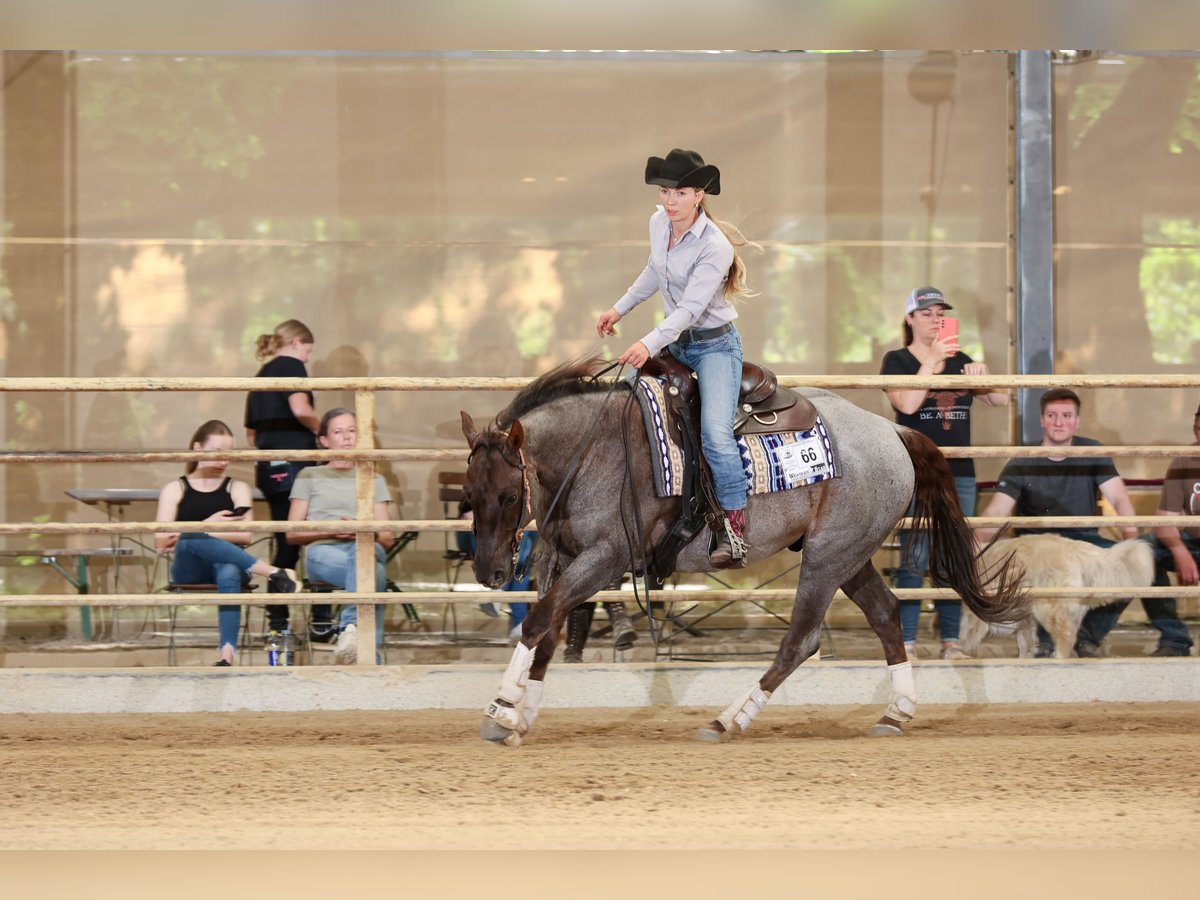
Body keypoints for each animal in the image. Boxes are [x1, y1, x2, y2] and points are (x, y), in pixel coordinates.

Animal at [460, 358, 1024, 746]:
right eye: (468, 493)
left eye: (508, 495)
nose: (489, 571)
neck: (594, 450)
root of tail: (892, 429)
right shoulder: (559, 558)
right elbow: (550, 630)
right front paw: (521, 715)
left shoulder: (606, 558)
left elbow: (540, 621)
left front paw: (502, 708)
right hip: (850, 554)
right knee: (886, 615)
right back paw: (896, 712)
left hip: (827, 559)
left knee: (801, 641)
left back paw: (728, 718)